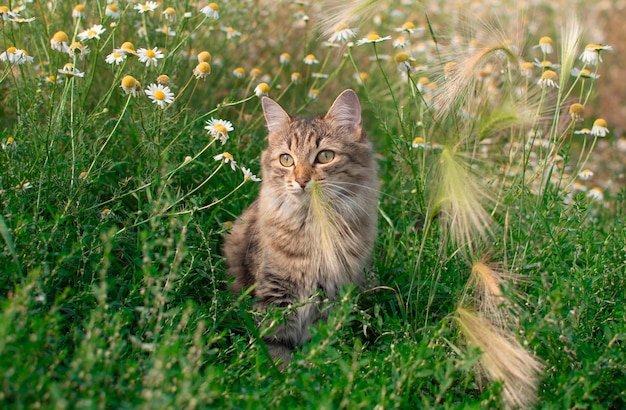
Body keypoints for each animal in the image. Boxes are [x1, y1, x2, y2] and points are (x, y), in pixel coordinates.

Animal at [225, 89, 380, 366]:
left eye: (325, 156)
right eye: (286, 159)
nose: (301, 180)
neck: (314, 225)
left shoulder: (330, 295)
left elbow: (319, 344)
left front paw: (312, 365)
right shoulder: (275, 292)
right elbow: (274, 343)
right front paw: (283, 370)